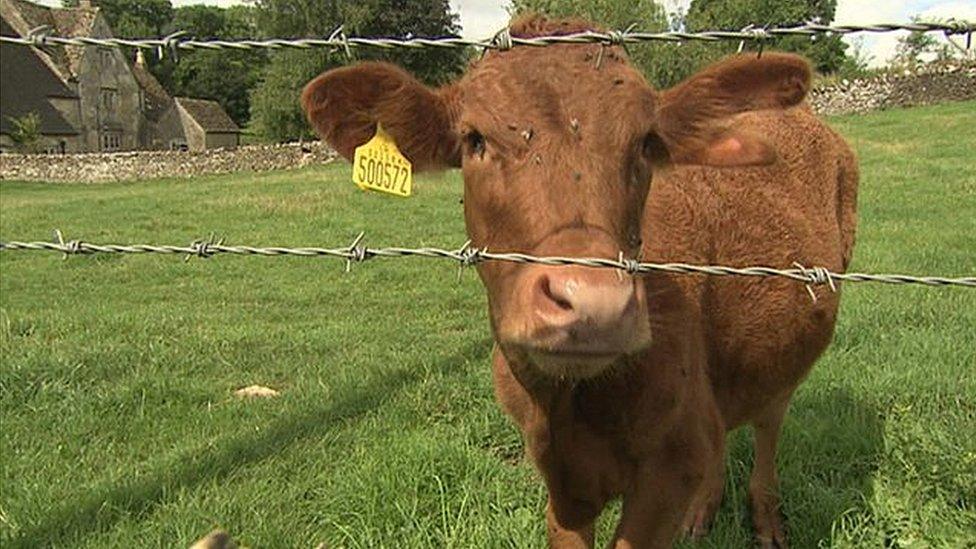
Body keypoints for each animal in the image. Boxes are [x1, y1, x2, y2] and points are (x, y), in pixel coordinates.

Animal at [302, 13, 856, 548]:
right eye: (475, 140)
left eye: (646, 144)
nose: (594, 304)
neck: (570, 407)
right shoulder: (561, 475)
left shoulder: (672, 465)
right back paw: (702, 514)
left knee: (769, 421)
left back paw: (766, 520)